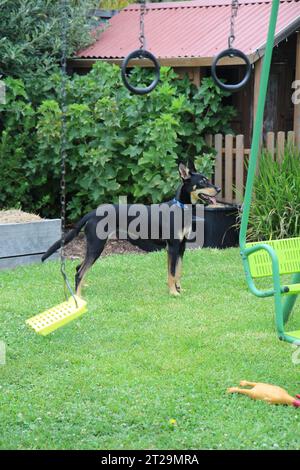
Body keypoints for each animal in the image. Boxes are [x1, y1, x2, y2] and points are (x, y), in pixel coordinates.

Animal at [42, 163, 220, 296]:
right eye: (203, 182)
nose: (218, 189)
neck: (181, 209)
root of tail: (92, 213)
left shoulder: (181, 246)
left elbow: (178, 272)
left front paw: (179, 289)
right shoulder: (173, 247)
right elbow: (171, 272)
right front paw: (173, 293)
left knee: (79, 268)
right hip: (96, 245)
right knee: (79, 272)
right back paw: (78, 298)